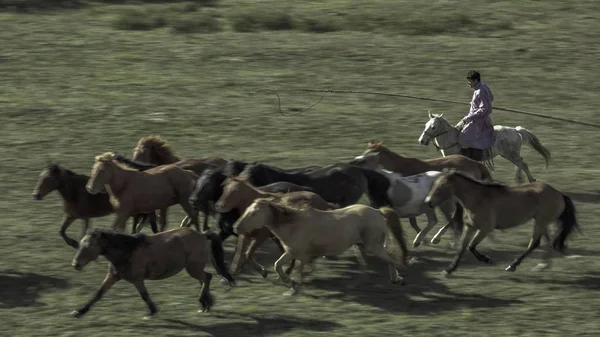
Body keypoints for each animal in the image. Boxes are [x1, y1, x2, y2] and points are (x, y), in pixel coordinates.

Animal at [69, 226, 234, 318]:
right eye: (81, 244)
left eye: (89, 245)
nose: (75, 264)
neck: (127, 250)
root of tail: (202, 235)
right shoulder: (113, 276)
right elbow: (98, 294)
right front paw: (79, 312)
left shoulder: (137, 280)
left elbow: (144, 295)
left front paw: (152, 312)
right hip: (195, 268)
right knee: (204, 280)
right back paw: (206, 305)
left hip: (193, 268)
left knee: (207, 277)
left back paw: (203, 303)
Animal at [231, 198, 408, 296]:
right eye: (246, 210)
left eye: (253, 213)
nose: (236, 227)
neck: (294, 225)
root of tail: (378, 212)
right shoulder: (291, 253)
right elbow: (278, 266)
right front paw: (291, 285)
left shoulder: (300, 254)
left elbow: (299, 270)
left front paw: (294, 288)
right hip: (359, 246)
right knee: (365, 265)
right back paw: (357, 284)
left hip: (373, 246)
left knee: (390, 259)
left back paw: (397, 279)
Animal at [420, 111, 552, 182]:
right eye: (425, 124)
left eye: (433, 127)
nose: (422, 140)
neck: (452, 139)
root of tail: (515, 130)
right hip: (511, 155)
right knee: (521, 164)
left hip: (511, 155)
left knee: (523, 165)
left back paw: (531, 181)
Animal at [424, 168, 580, 276]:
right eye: (433, 184)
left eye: (441, 187)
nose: (428, 202)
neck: (477, 199)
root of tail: (560, 194)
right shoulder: (470, 227)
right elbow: (462, 248)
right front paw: (449, 270)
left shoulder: (485, 229)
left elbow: (471, 247)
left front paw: (488, 260)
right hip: (542, 222)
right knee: (546, 243)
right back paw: (543, 265)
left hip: (540, 222)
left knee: (535, 243)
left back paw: (513, 265)